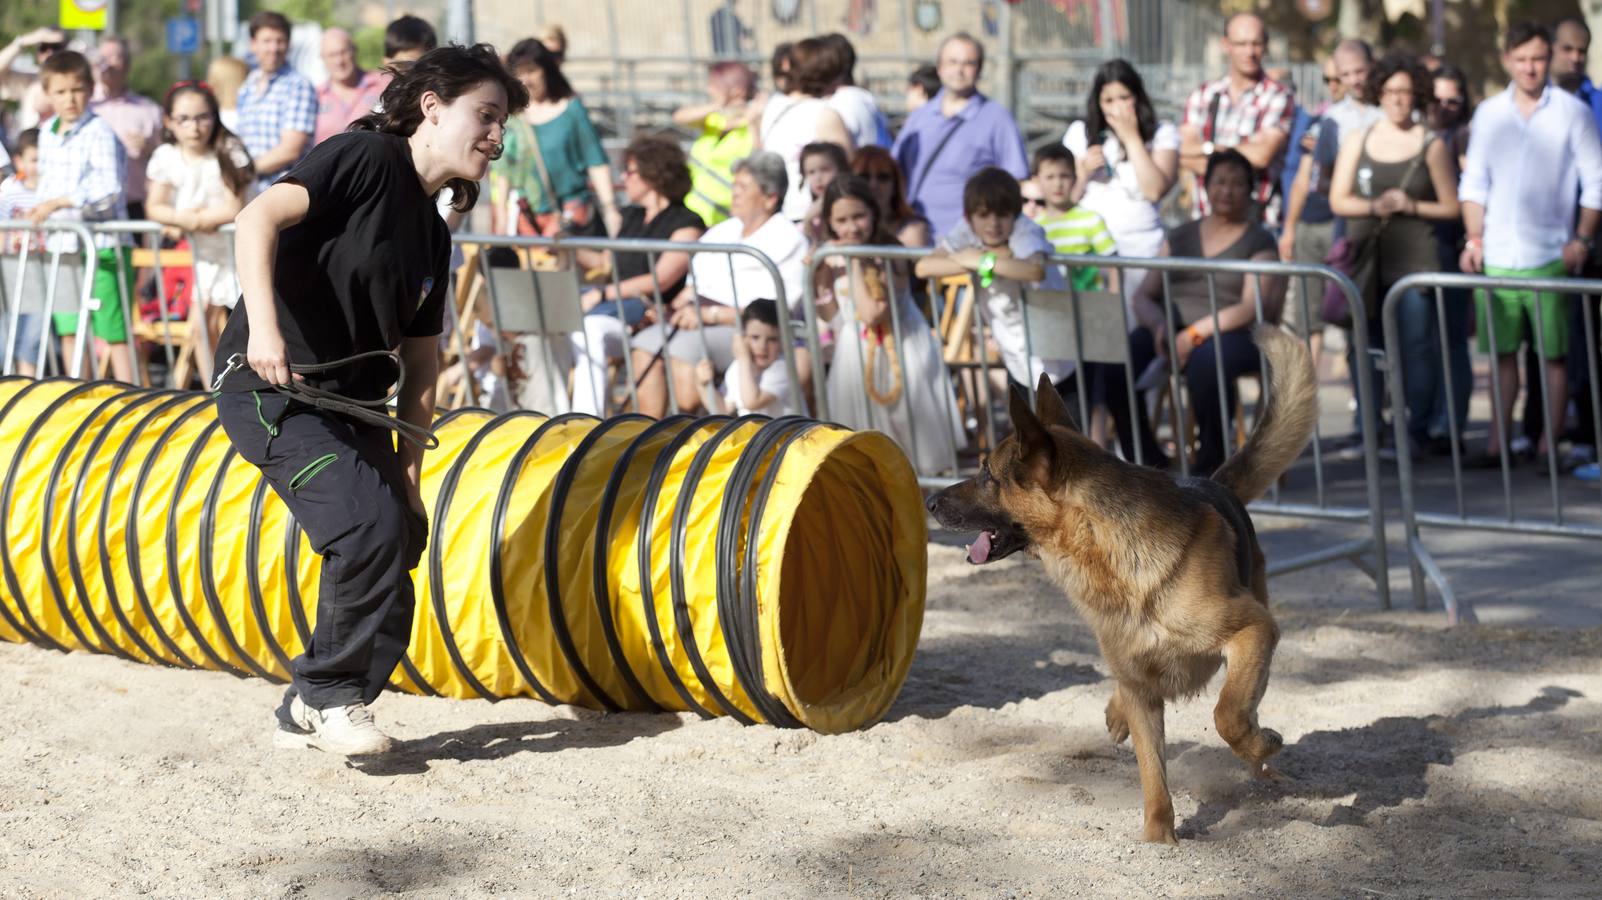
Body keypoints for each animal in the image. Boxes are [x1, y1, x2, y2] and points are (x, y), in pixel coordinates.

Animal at [929, 323, 1313, 839]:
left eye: (988, 474)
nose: (928, 501)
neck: (1107, 552)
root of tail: (1212, 482)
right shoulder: (1143, 693)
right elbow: (1154, 778)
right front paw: (1159, 841)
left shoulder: (1254, 630)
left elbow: (1228, 715)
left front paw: (1263, 744)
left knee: (1242, 709)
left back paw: (1263, 765)